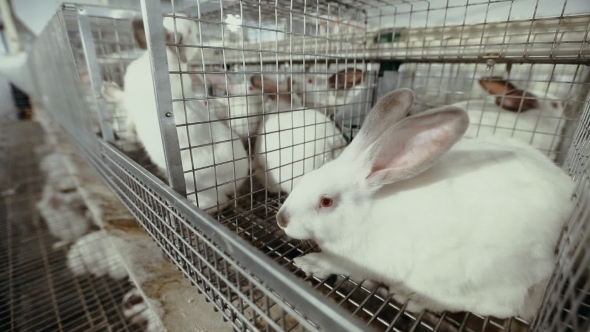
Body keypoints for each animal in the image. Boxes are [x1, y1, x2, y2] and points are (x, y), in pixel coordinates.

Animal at [278, 89, 580, 322]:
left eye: (326, 201)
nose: (282, 219)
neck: (366, 211)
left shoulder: (366, 262)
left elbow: (340, 264)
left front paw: (310, 263)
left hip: (475, 280)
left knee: (493, 306)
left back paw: (413, 299)